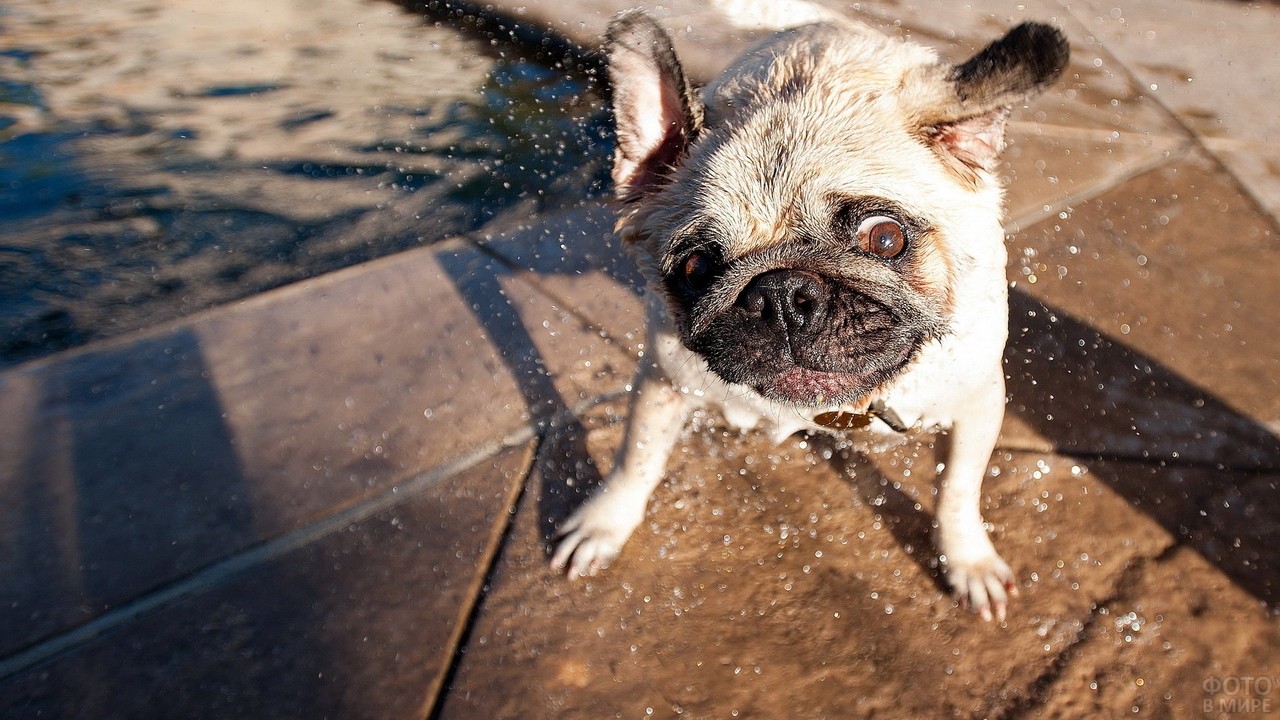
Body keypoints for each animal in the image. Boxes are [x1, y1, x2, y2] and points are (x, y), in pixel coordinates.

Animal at [550, 7, 1070, 622]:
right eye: (696, 267)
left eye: (886, 238)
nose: (781, 294)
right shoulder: (662, 380)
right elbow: (636, 459)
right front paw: (605, 522)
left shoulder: (977, 404)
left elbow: (958, 492)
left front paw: (967, 560)